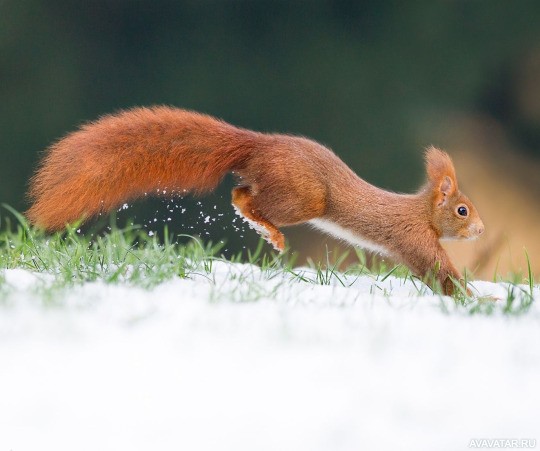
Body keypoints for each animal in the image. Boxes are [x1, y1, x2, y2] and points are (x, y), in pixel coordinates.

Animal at [27, 106, 486, 296]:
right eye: (462, 210)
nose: (482, 230)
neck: (421, 211)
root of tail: (258, 145)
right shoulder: (413, 238)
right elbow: (439, 274)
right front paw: (479, 300)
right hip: (304, 198)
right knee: (247, 196)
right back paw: (268, 231)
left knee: (240, 191)